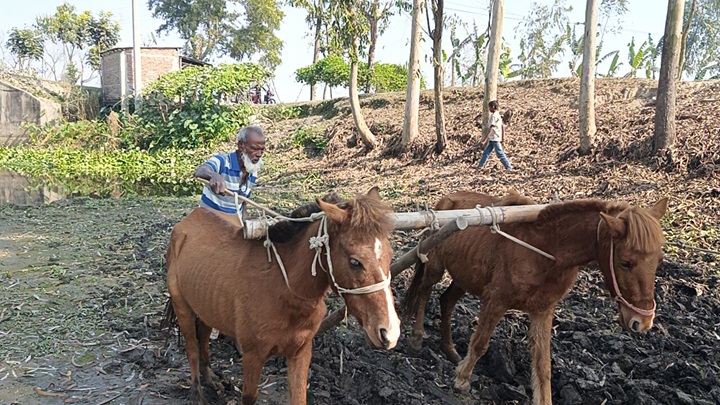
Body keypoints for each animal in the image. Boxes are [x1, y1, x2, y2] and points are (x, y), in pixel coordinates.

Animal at [163, 188, 400, 402]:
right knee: (192, 348)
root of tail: (187, 222)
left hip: (205, 306)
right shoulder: (253, 355)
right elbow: (249, 397)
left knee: (203, 338)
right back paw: (197, 393)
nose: (389, 333)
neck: (284, 290)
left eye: (390, 255)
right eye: (355, 262)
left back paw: (210, 378)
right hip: (183, 307)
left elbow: (299, 396)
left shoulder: (301, 351)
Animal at [402, 192, 668, 404]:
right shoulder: (496, 299)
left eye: (659, 260)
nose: (643, 322)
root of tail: (446, 201)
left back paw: (449, 349)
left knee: (446, 301)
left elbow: (543, 365)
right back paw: (416, 339)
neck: (545, 250)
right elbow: (480, 344)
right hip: (435, 266)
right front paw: (462, 379)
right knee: (424, 292)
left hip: (465, 278)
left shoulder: (543, 310)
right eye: (625, 262)